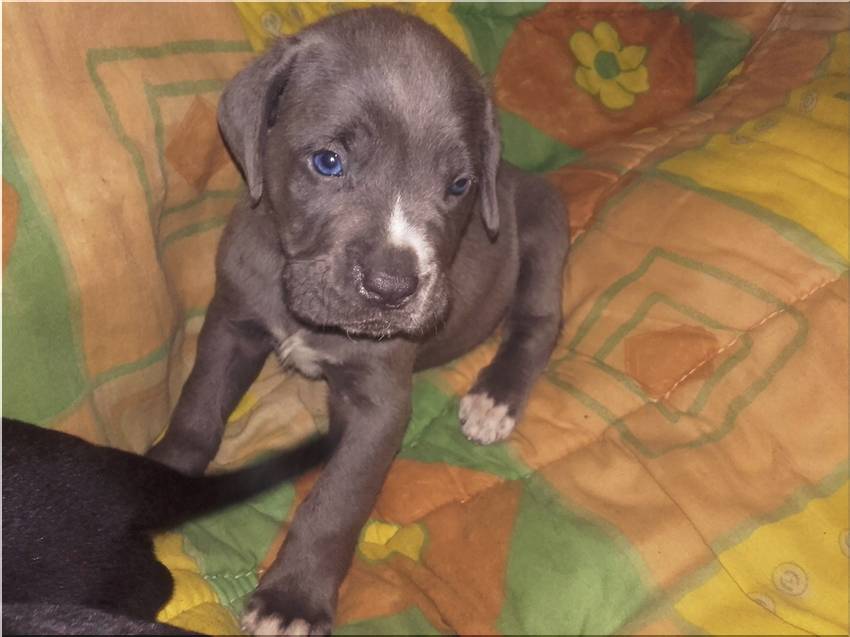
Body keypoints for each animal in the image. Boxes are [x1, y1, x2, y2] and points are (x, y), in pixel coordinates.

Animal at [147, 7, 569, 635]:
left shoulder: (380, 404)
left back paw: (495, 399)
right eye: (328, 161)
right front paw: (161, 480)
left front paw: (293, 599)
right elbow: (197, 409)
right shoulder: (231, 323)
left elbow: (337, 501)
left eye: (459, 185)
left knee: (539, 322)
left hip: (543, 225)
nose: (392, 287)